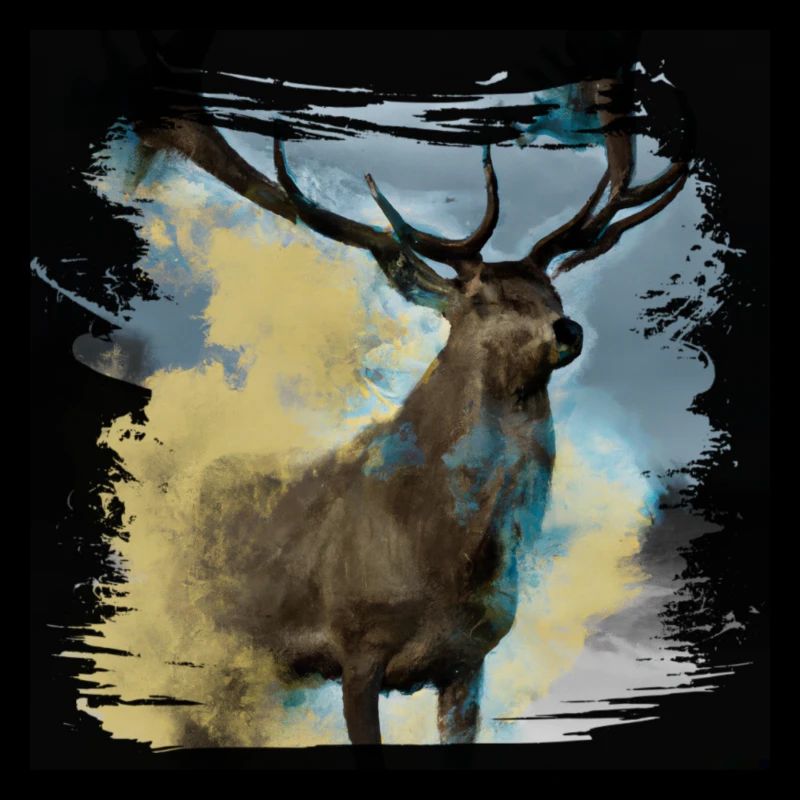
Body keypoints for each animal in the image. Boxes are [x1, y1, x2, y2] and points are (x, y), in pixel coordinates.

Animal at [134, 76, 689, 745]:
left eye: (552, 290)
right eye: (482, 299)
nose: (568, 329)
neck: (442, 563)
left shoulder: (469, 660)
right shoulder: (355, 649)